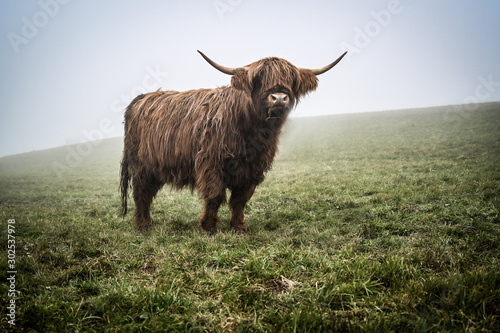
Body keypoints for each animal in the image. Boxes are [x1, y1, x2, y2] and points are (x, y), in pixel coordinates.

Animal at [121, 50, 348, 233]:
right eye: (259, 79)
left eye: (291, 79)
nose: (279, 98)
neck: (251, 131)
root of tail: (142, 98)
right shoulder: (212, 163)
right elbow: (214, 195)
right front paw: (209, 228)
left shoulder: (252, 169)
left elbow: (240, 200)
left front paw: (239, 228)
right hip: (141, 166)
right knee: (141, 194)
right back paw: (144, 226)